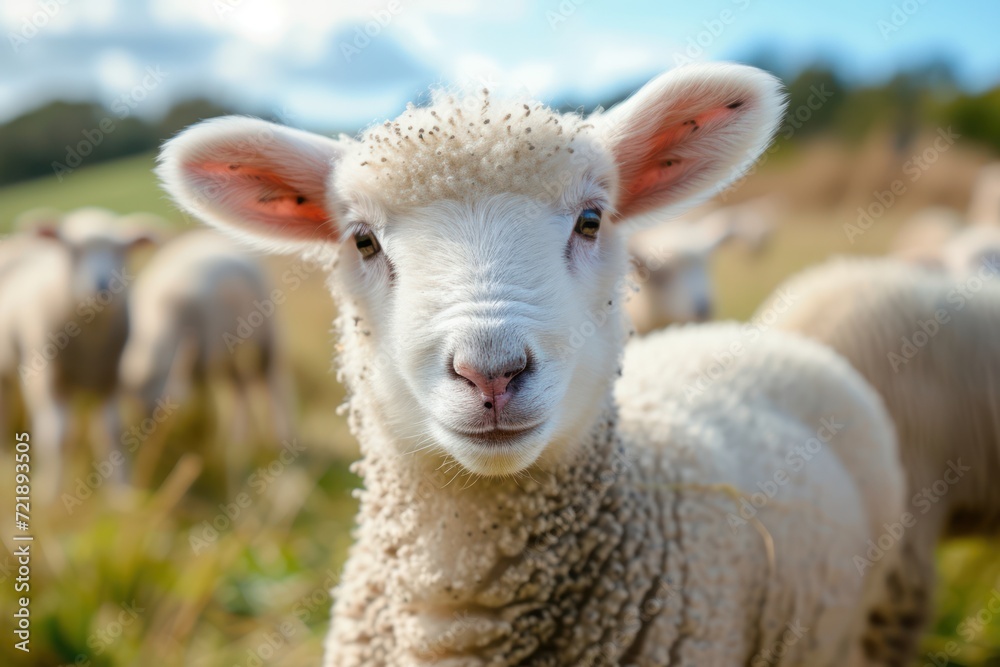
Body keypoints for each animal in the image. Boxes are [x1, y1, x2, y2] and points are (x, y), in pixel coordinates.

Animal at [0, 209, 155, 500]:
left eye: (120, 250)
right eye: (74, 250)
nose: (102, 286)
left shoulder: (110, 378)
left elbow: (111, 432)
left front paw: (121, 492)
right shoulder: (49, 378)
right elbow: (59, 439)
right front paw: (51, 494)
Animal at [118, 228, 292, 460]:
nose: (157, 448)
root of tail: (209, 233)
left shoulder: (200, 357)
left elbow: (204, 403)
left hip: (266, 333)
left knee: (272, 382)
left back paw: (279, 439)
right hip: (230, 347)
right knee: (240, 388)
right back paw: (237, 441)